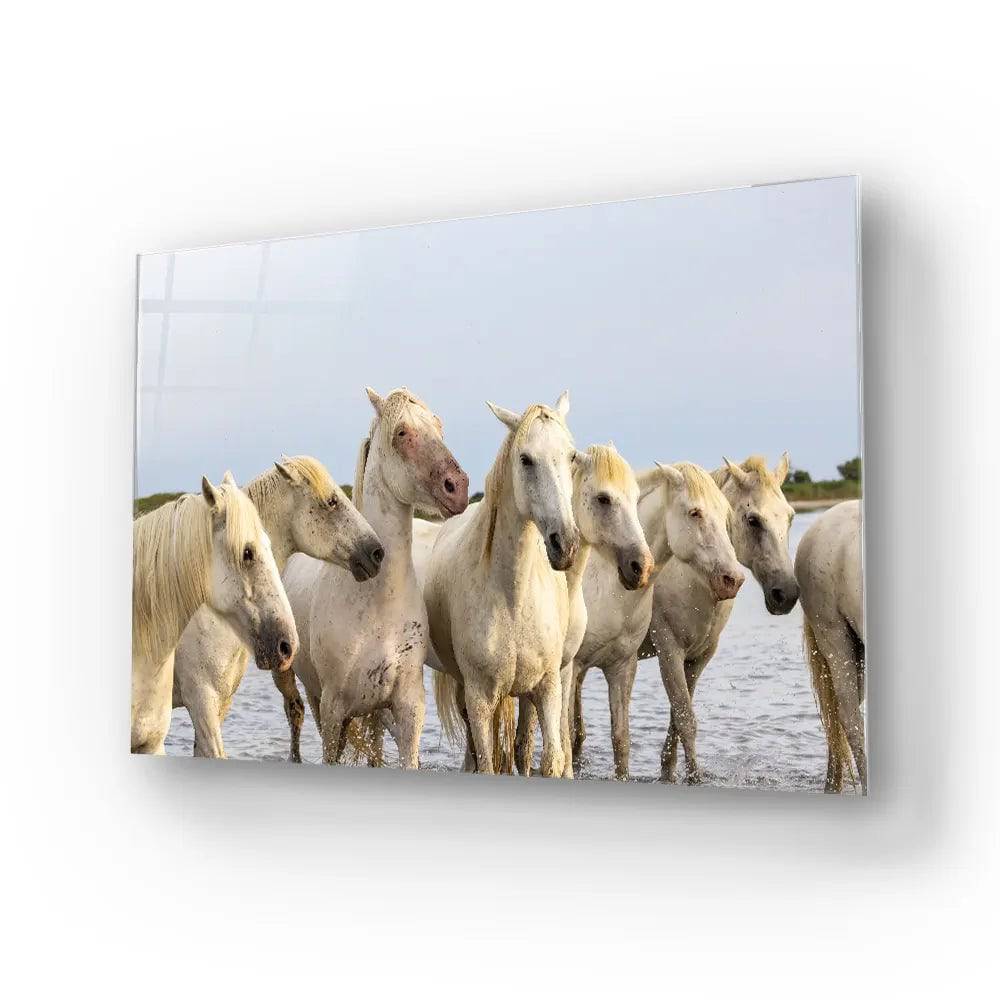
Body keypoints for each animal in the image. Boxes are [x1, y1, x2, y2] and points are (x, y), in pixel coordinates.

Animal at [279, 388, 468, 768]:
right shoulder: (334, 708)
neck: (378, 602)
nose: (457, 487)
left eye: (438, 426)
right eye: (402, 432)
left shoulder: (408, 708)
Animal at [423, 393, 579, 777]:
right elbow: (487, 762)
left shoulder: (547, 688)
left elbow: (550, 760)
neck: (513, 595)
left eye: (571, 456)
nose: (565, 544)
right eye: (525, 459)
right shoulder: (480, 697)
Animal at [647, 454, 799, 783]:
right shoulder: (669, 651)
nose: (787, 594)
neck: (691, 575)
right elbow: (685, 718)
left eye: (790, 517)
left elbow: (679, 716)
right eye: (753, 519)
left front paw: (669, 771)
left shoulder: (698, 657)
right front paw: (694, 778)